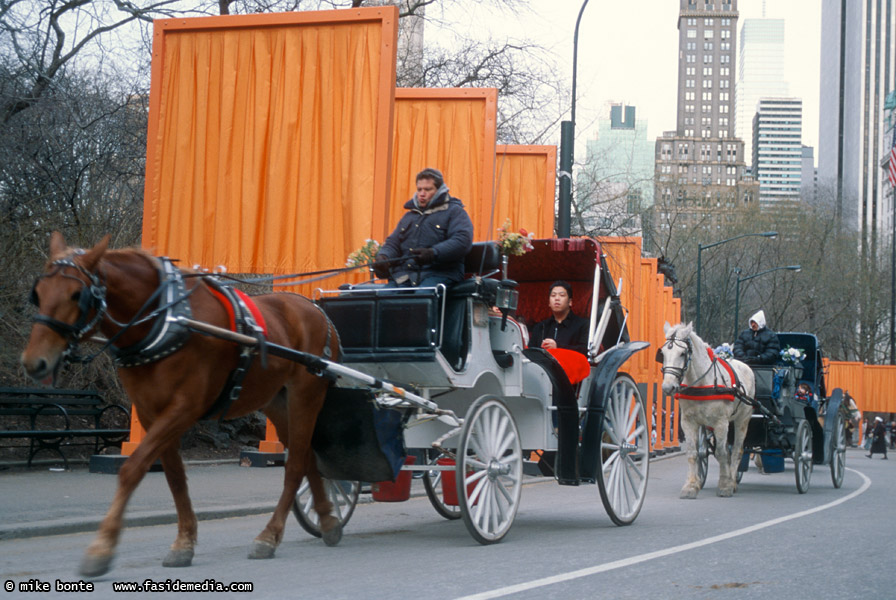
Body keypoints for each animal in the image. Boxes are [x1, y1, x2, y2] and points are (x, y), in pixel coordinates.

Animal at [21, 233, 344, 576]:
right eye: (38, 293)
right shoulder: (151, 413)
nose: (34, 362)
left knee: (294, 464)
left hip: (306, 395)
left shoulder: (184, 408)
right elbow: (175, 477)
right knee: (305, 455)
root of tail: (316, 310)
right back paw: (328, 519)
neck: (168, 320)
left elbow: (132, 468)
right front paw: (184, 542)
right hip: (276, 402)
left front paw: (101, 548)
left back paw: (270, 535)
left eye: (76, 295)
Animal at [656, 324, 756, 496]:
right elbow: (693, 452)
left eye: (682, 353)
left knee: (736, 450)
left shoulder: (721, 423)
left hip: (742, 420)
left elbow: (721, 453)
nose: (668, 387)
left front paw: (725, 485)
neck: (703, 383)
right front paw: (691, 485)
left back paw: (732, 481)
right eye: (663, 354)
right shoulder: (688, 422)